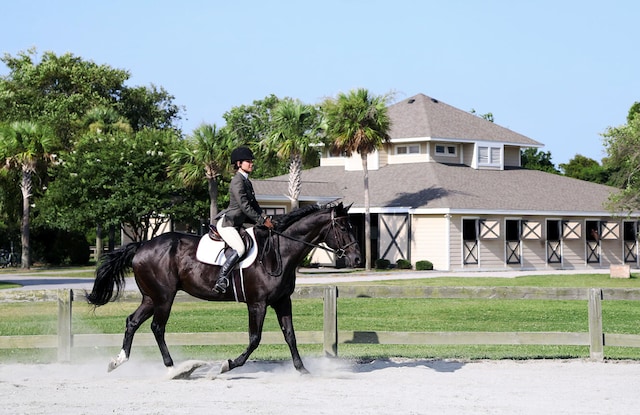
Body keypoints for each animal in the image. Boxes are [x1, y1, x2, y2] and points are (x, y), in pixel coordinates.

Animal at [85, 203, 360, 376]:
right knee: (157, 327)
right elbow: (254, 339)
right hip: (163, 297)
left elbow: (290, 335)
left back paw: (118, 361)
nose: (357, 259)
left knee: (133, 322)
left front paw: (302, 369)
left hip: (151, 298)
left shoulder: (282, 301)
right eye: (343, 228)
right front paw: (228, 364)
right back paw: (175, 369)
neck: (279, 252)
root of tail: (142, 245)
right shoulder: (257, 303)